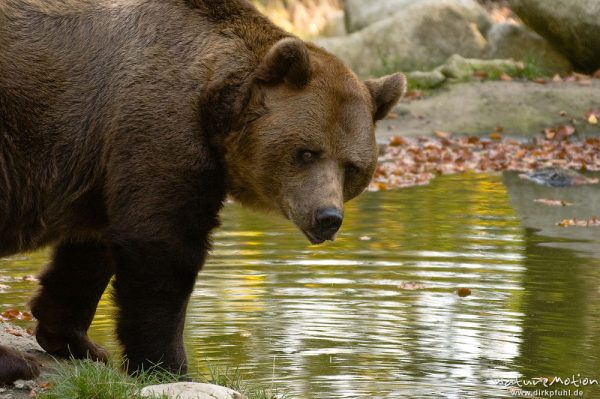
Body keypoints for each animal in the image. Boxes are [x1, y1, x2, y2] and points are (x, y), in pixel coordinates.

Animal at [0, 0, 408, 382]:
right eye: (307, 152)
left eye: (352, 166)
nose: (327, 217)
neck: (216, 106)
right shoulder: (162, 124)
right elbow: (163, 248)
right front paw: (168, 366)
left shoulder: (104, 158)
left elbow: (90, 250)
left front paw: (76, 340)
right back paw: (14, 364)